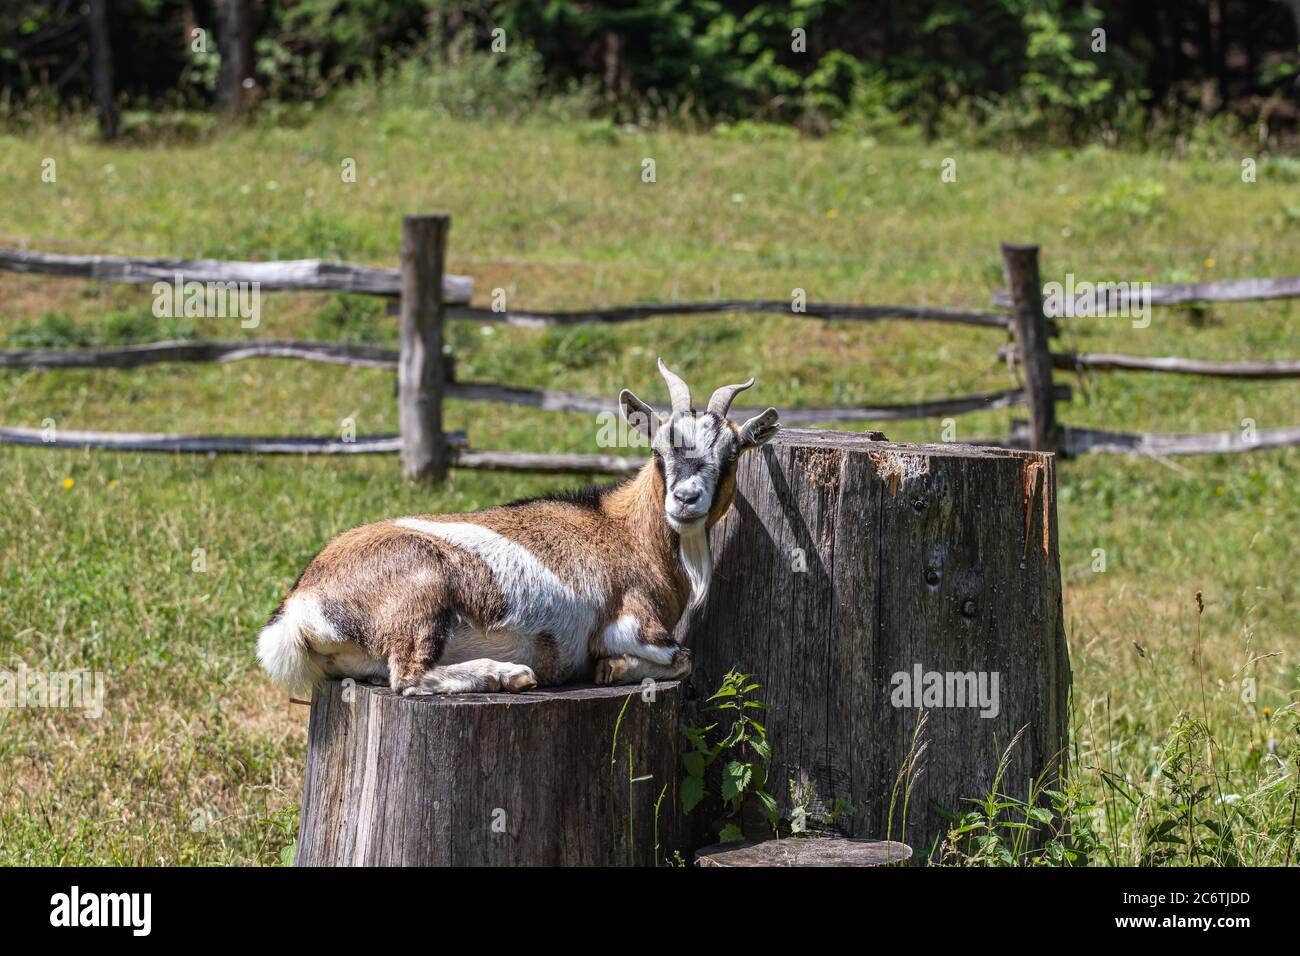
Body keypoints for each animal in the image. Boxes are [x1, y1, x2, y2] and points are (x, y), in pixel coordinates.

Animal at [258, 358, 774, 697]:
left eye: (732, 453)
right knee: (407, 678)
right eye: (657, 449)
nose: (685, 499)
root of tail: (299, 605)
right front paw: (612, 669)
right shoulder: (633, 624)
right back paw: (509, 674)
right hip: (421, 594)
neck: (623, 530)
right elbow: (684, 659)